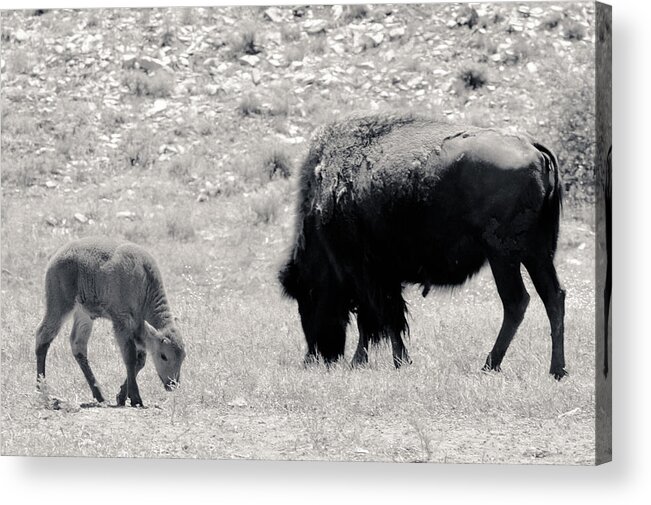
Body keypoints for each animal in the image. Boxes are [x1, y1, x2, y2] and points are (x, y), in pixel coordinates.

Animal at [36, 236, 186, 406]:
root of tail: (57, 255)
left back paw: (100, 395)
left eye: (183, 356)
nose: (172, 385)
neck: (144, 281)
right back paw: (42, 391)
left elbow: (140, 361)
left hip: (84, 314)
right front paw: (136, 398)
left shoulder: (138, 330)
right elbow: (130, 358)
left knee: (78, 345)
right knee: (43, 337)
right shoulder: (122, 323)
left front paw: (121, 396)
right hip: (60, 305)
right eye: (163, 355)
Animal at [280, 114, 572, 378]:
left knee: (516, 301)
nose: (315, 357)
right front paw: (392, 360)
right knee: (553, 296)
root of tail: (534, 149)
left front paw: (370, 361)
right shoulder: (383, 278)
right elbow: (386, 319)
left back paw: (490, 365)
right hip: (536, 252)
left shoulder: (367, 275)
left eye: (307, 296)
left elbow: (378, 319)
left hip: (504, 254)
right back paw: (557, 370)